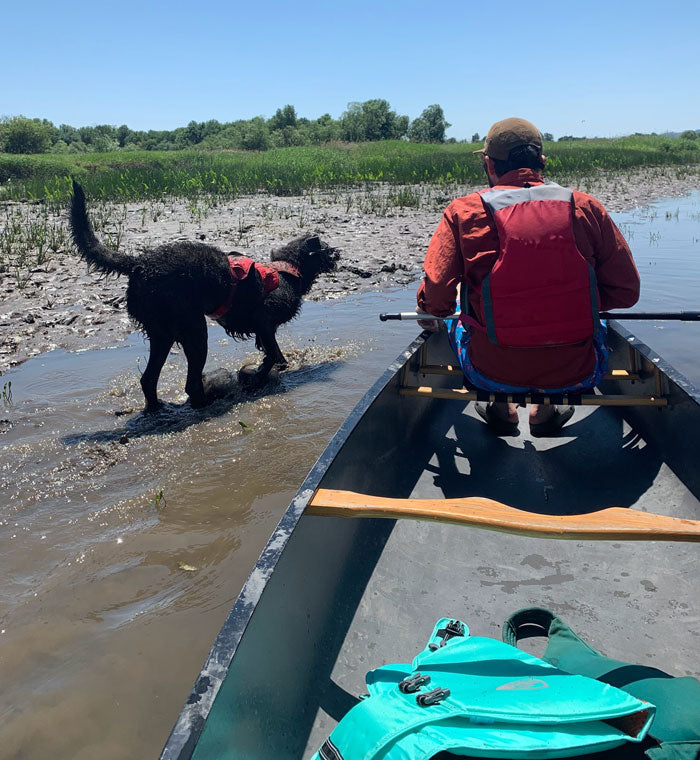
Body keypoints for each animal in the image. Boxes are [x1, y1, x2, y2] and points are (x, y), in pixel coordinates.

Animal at [69, 182, 340, 412]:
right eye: (327, 249)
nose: (338, 254)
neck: (287, 271)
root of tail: (139, 264)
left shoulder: (265, 331)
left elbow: (275, 353)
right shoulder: (263, 322)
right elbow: (271, 354)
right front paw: (257, 377)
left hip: (163, 334)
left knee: (148, 379)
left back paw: (158, 410)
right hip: (194, 331)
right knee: (190, 384)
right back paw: (208, 403)